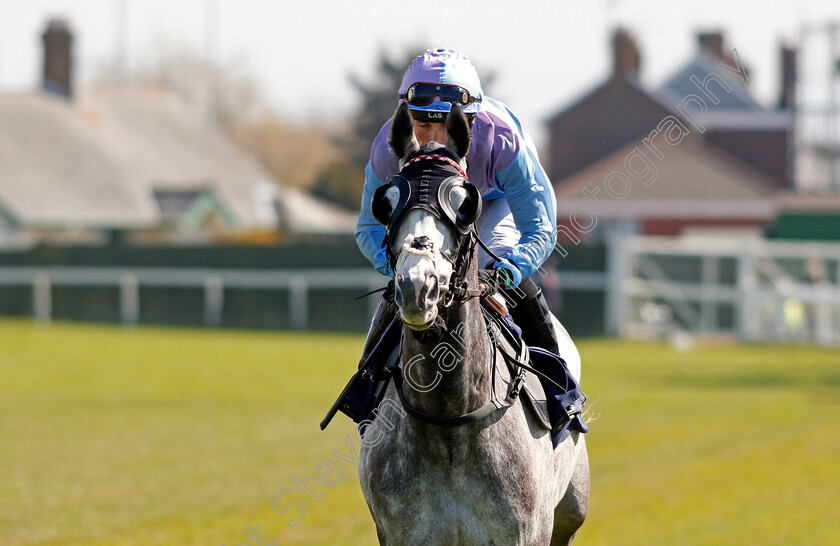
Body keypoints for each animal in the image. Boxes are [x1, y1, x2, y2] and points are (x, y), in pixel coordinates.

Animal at [356, 103, 592, 544]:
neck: (449, 422)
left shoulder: (528, 531)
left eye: (464, 203)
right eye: (386, 201)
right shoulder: (399, 533)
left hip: (571, 510)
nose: (418, 285)